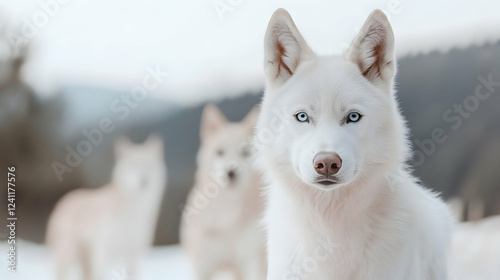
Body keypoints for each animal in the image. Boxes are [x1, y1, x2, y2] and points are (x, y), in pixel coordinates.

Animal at [46, 135, 166, 278]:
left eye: (149, 165)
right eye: (132, 165)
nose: (144, 180)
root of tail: (61, 202)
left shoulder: (134, 254)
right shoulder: (103, 253)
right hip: (68, 256)